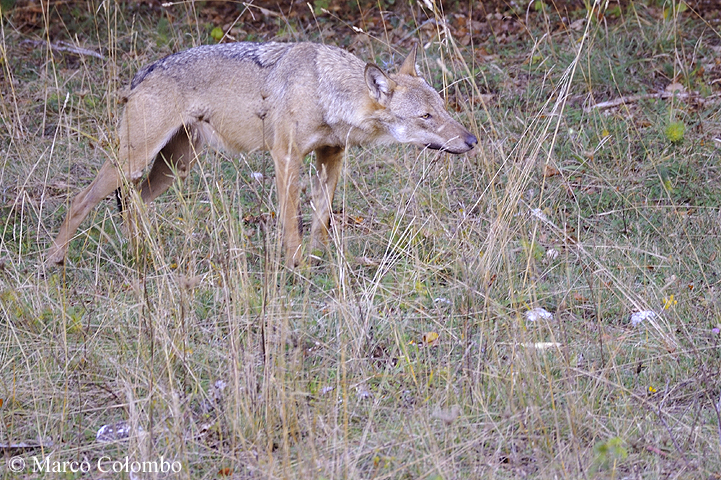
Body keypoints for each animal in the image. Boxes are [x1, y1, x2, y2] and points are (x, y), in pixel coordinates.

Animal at [49, 41, 478, 266]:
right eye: (426, 116)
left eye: (443, 109)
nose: (472, 140)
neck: (324, 91)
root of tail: (147, 70)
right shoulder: (286, 158)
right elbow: (290, 222)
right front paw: (296, 266)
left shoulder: (332, 157)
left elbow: (321, 219)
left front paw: (318, 259)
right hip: (135, 161)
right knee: (79, 201)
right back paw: (55, 261)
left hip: (175, 167)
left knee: (134, 203)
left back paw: (142, 256)